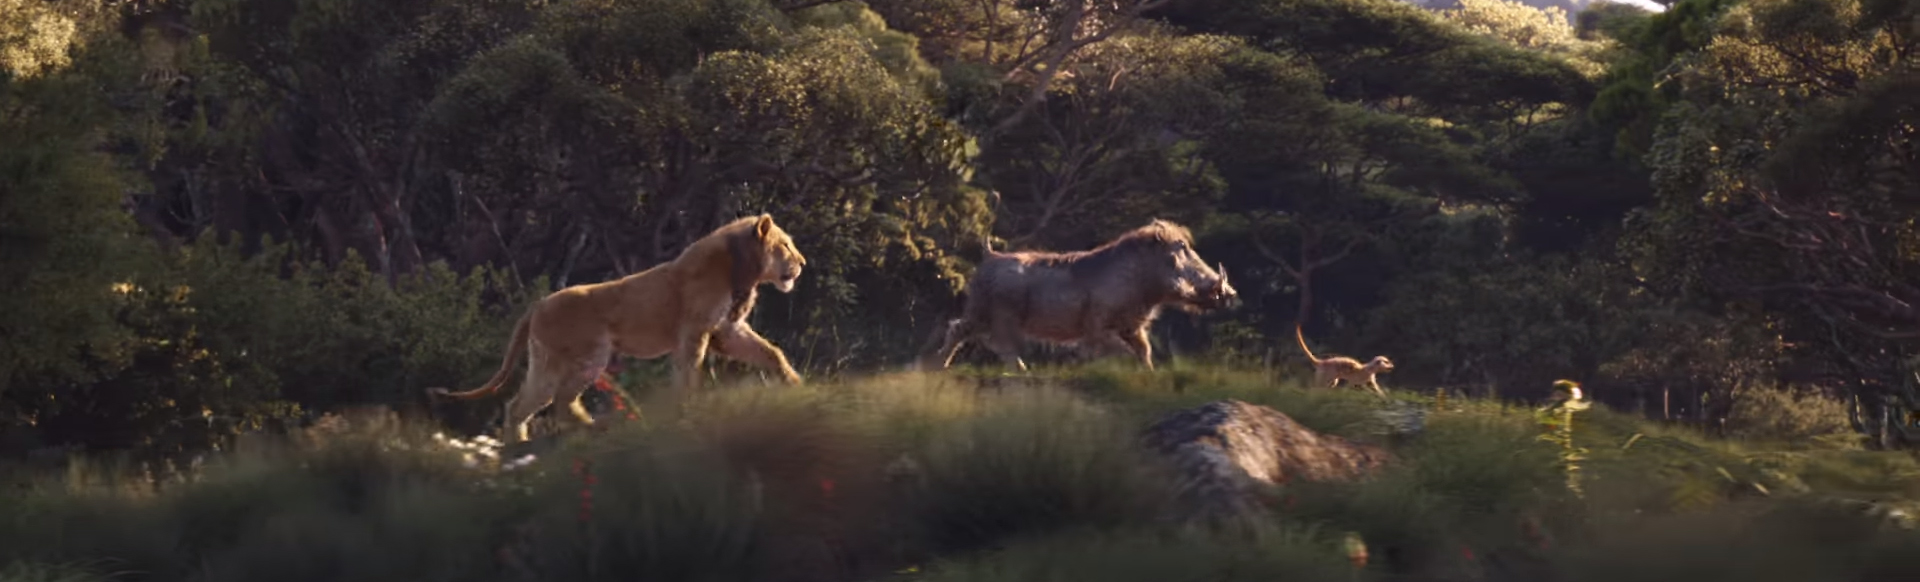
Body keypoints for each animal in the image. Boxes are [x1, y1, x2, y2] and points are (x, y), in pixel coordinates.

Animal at [427, 213, 807, 444]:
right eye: (785, 244)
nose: (802, 263)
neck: (742, 271)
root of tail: (538, 303)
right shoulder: (695, 332)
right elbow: (689, 372)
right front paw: (687, 409)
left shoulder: (726, 331)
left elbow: (772, 353)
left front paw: (796, 384)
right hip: (588, 355)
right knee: (555, 401)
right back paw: (594, 427)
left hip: (548, 361)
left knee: (525, 404)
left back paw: (524, 444)